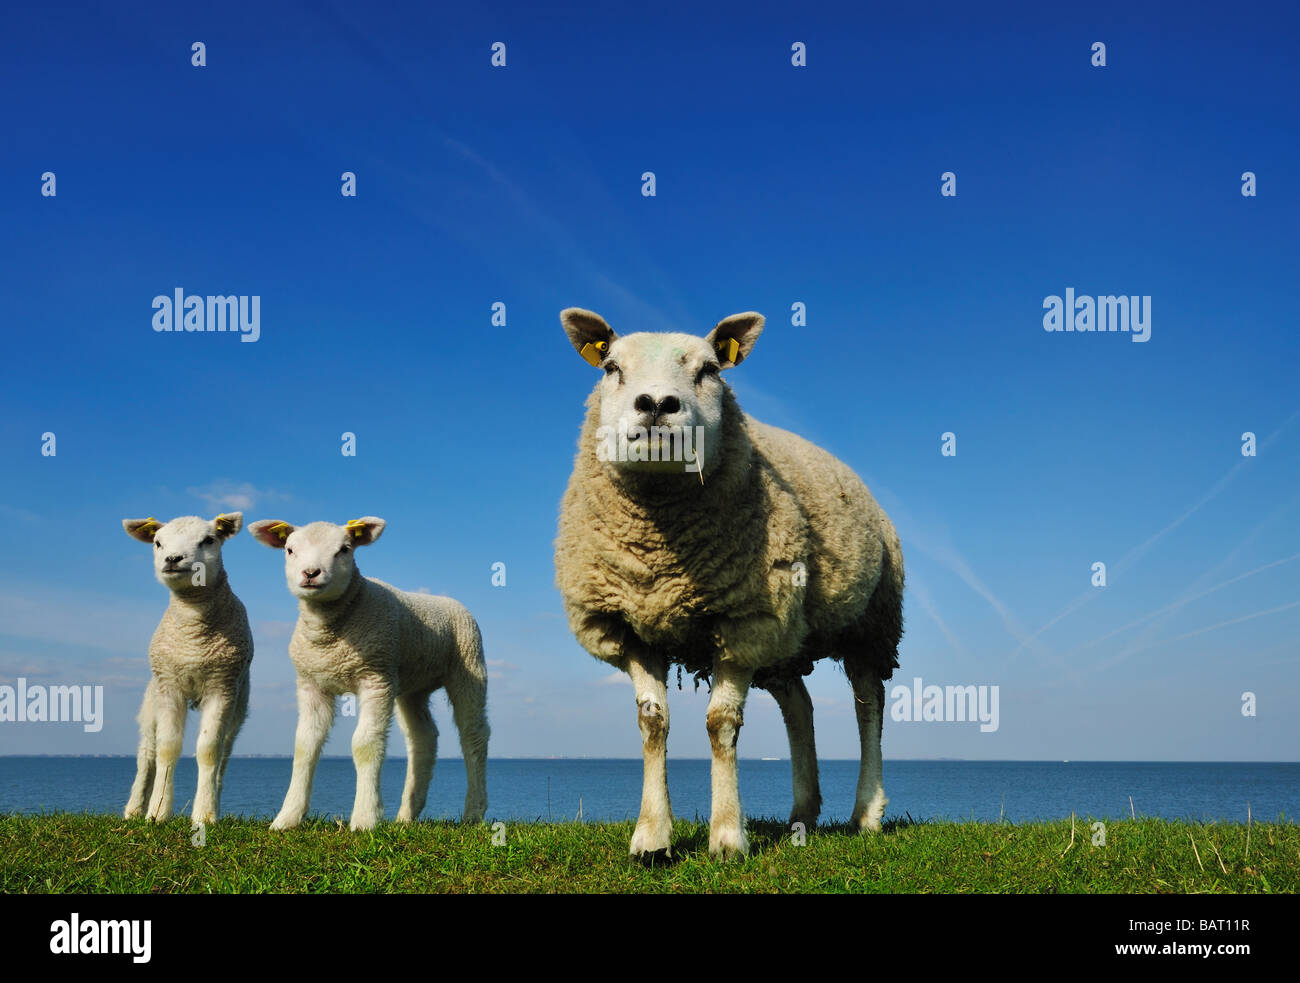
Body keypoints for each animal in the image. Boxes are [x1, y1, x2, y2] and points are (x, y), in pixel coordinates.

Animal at [122, 512, 253, 824]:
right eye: (157, 542)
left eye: (209, 540)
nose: (173, 558)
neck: (194, 637)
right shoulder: (170, 686)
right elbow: (167, 749)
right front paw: (157, 812)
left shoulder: (222, 686)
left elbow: (208, 751)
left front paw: (205, 814)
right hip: (151, 700)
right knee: (147, 754)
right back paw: (134, 808)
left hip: (238, 707)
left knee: (224, 755)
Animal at [248, 517, 489, 830]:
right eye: (289, 549)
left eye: (344, 549)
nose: (311, 573)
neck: (330, 636)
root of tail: (447, 600)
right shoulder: (312, 684)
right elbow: (304, 745)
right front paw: (287, 818)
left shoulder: (376, 678)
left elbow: (365, 744)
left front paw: (365, 818)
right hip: (412, 685)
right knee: (423, 737)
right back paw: (407, 814)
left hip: (468, 666)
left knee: (474, 735)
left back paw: (474, 811)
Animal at [554, 309, 904, 859]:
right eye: (611, 367)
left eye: (710, 370)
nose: (657, 404)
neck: (661, 558)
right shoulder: (630, 624)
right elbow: (652, 722)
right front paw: (651, 839)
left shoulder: (745, 619)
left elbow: (720, 723)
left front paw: (726, 838)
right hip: (788, 635)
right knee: (799, 706)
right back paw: (802, 813)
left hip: (869, 621)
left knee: (869, 707)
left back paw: (866, 812)